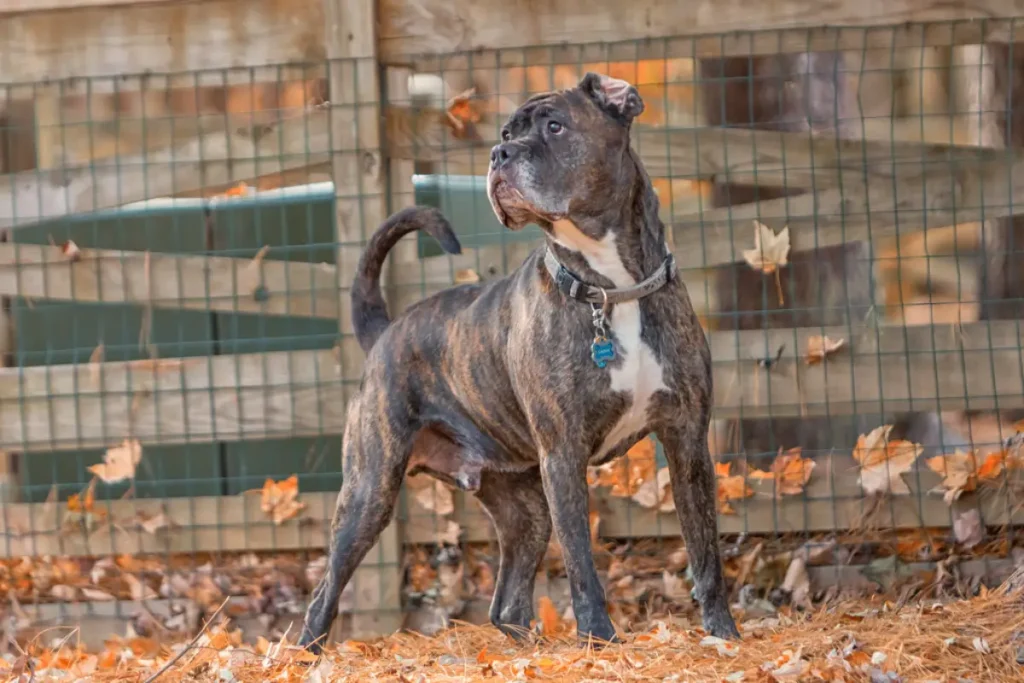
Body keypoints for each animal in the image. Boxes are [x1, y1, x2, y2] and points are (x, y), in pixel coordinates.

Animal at [299, 70, 741, 651]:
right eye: (507, 133)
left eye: (555, 127)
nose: (499, 153)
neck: (610, 288)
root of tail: (384, 332)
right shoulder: (563, 456)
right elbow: (581, 564)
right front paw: (598, 640)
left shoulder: (687, 439)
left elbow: (706, 552)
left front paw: (724, 634)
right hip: (369, 491)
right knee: (322, 595)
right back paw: (306, 653)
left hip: (524, 508)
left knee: (506, 604)